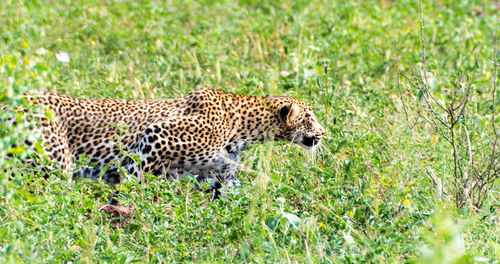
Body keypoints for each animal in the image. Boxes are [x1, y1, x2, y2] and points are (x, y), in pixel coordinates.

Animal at [21, 87, 326, 196]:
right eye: (309, 116)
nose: (324, 132)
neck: (243, 130)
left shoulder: (218, 173)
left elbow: (233, 192)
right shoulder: (156, 135)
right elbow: (134, 177)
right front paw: (123, 205)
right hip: (54, 164)